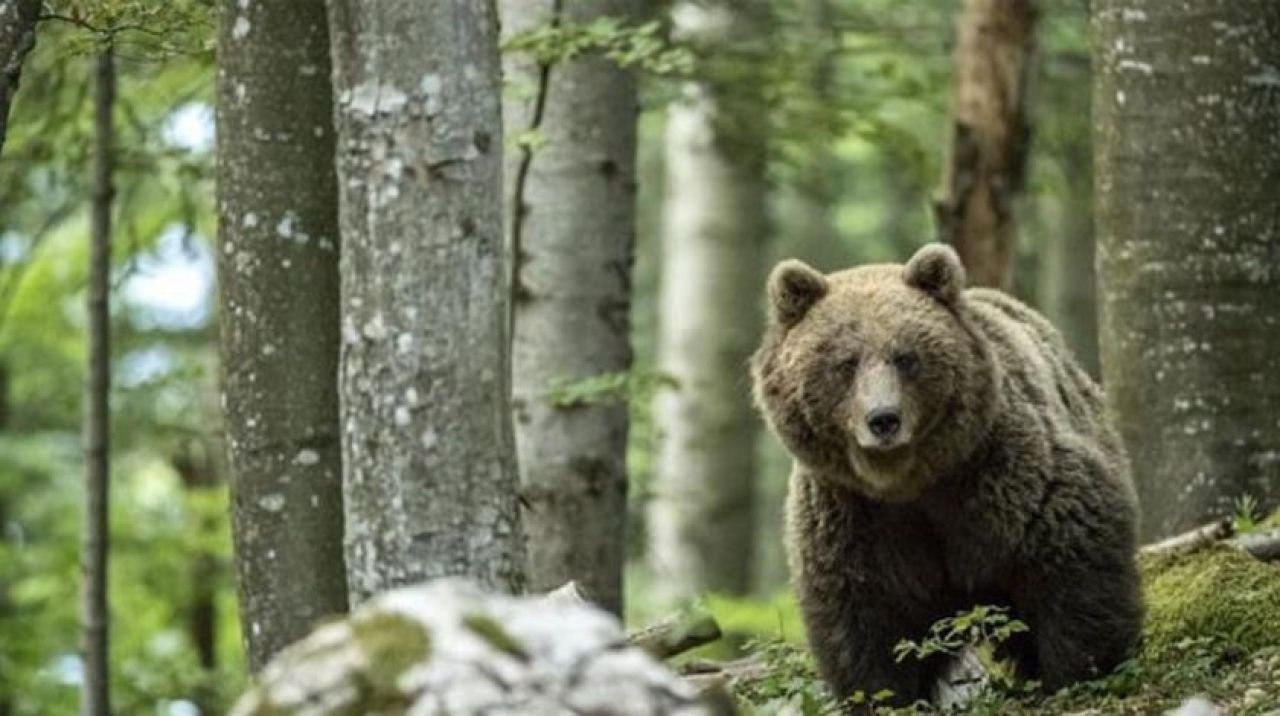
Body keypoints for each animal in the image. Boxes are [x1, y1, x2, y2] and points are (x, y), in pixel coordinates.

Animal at [747, 244, 1141, 707]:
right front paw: (883, 696)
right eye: (846, 362)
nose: (883, 419)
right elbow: (863, 620)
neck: (908, 482)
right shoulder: (853, 515)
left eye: (906, 357)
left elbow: (1071, 562)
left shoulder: (1002, 479)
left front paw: (1075, 673)